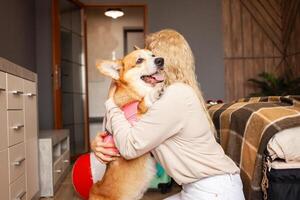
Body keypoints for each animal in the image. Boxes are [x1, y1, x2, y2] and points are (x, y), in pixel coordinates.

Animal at [90, 49, 165, 200]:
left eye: (153, 55)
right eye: (139, 60)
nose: (161, 60)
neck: (133, 95)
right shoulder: (133, 128)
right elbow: (141, 105)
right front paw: (154, 93)